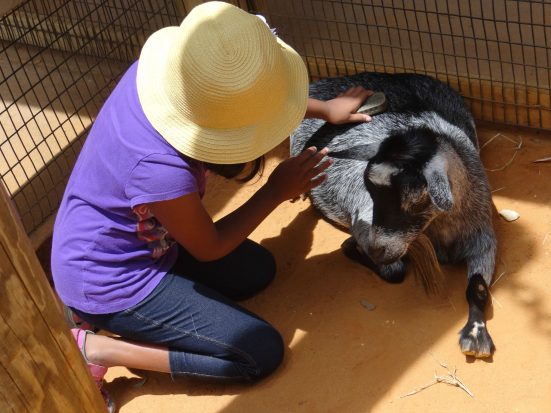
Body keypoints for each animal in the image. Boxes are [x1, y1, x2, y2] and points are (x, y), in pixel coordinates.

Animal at [294, 73, 500, 358]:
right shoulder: (364, 217)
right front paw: (352, 247)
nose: (375, 250)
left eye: (414, 200)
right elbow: (395, 270)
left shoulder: (483, 237)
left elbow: (477, 288)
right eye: (369, 190)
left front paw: (475, 334)